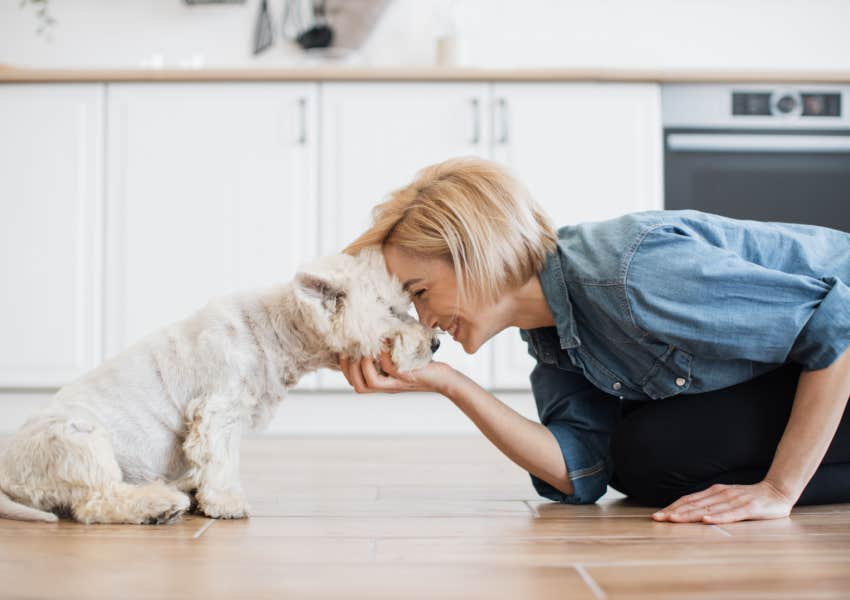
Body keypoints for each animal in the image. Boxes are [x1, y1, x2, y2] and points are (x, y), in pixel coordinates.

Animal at [0, 248, 438, 524]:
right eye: (392, 311)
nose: (434, 343)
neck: (275, 331)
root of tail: (8, 476)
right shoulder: (218, 409)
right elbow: (222, 459)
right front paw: (225, 502)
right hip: (80, 441)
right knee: (96, 501)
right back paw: (159, 505)